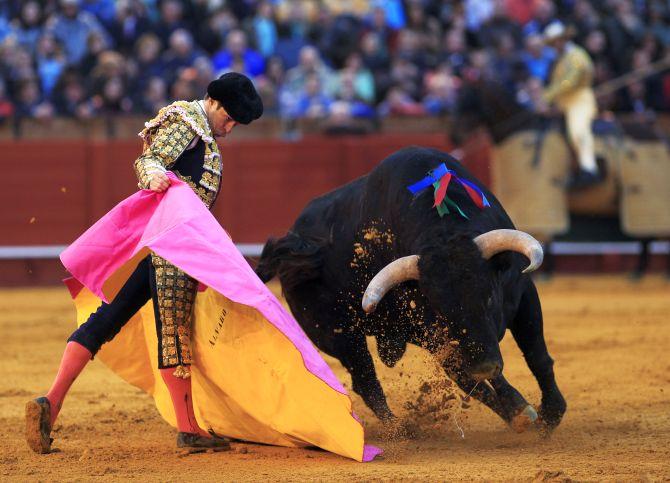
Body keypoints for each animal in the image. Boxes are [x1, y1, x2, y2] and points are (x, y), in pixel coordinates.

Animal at [258, 147, 568, 434]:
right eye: (438, 309)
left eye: (489, 297)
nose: (484, 365)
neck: (442, 228)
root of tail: (293, 242)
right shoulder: (432, 332)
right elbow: (470, 376)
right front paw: (527, 411)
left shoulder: (523, 294)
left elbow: (536, 354)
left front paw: (551, 413)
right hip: (340, 337)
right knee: (367, 380)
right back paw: (401, 429)